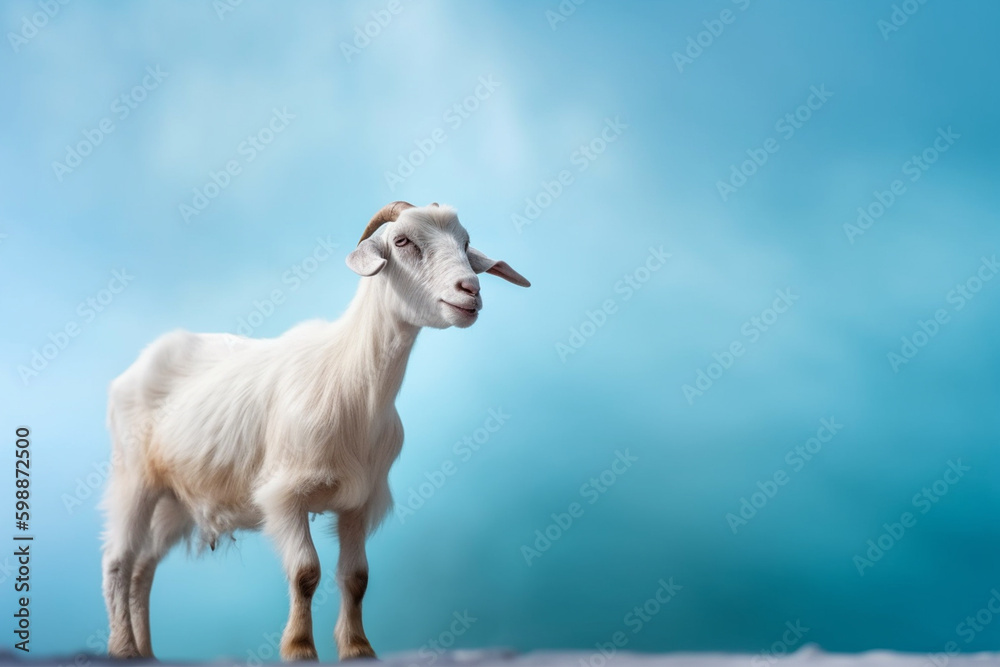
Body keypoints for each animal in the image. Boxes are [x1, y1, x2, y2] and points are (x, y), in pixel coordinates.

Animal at [100, 202, 529, 661]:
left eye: (465, 244)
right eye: (402, 241)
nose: (470, 290)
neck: (353, 385)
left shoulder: (360, 501)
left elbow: (356, 577)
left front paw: (358, 647)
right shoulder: (284, 496)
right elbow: (306, 572)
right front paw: (300, 647)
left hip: (174, 499)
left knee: (144, 568)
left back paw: (146, 651)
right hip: (133, 477)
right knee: (118, 561)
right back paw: (123, 648)